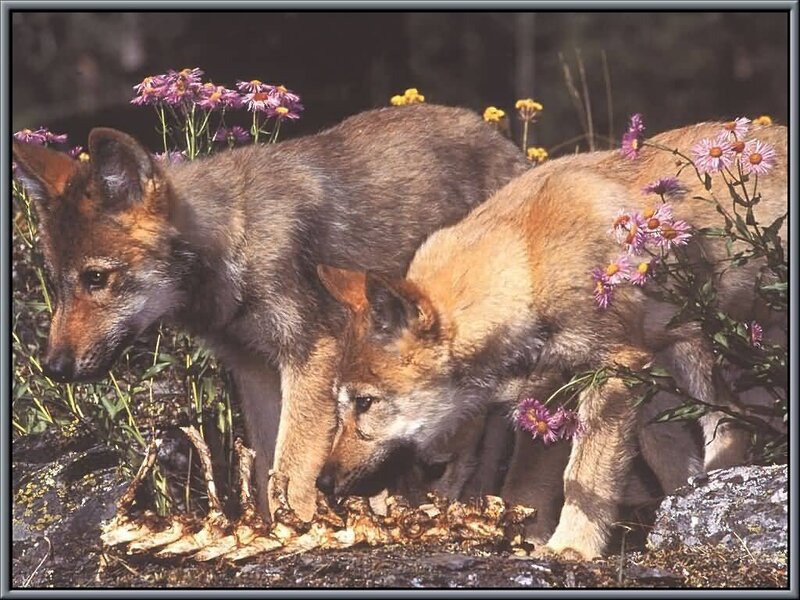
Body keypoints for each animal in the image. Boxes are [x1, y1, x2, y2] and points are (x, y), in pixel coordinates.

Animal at [11, 104, 531, 520]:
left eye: (96, 278)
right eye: (58, 282)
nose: (53, 367)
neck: (235, 243)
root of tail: (513, 148)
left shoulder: (312, 358)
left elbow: (295, 467)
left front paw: (296, 532)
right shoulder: (256, 372)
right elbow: (267, 472)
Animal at [313, 122, 787, 558]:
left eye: (365, 403)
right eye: (340, 404)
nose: (323, 483)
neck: (528, 263)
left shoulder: (612, 374)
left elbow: (583, 477)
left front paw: (571, 548)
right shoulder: (555, 398)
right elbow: (527, 486)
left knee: (731, 427)